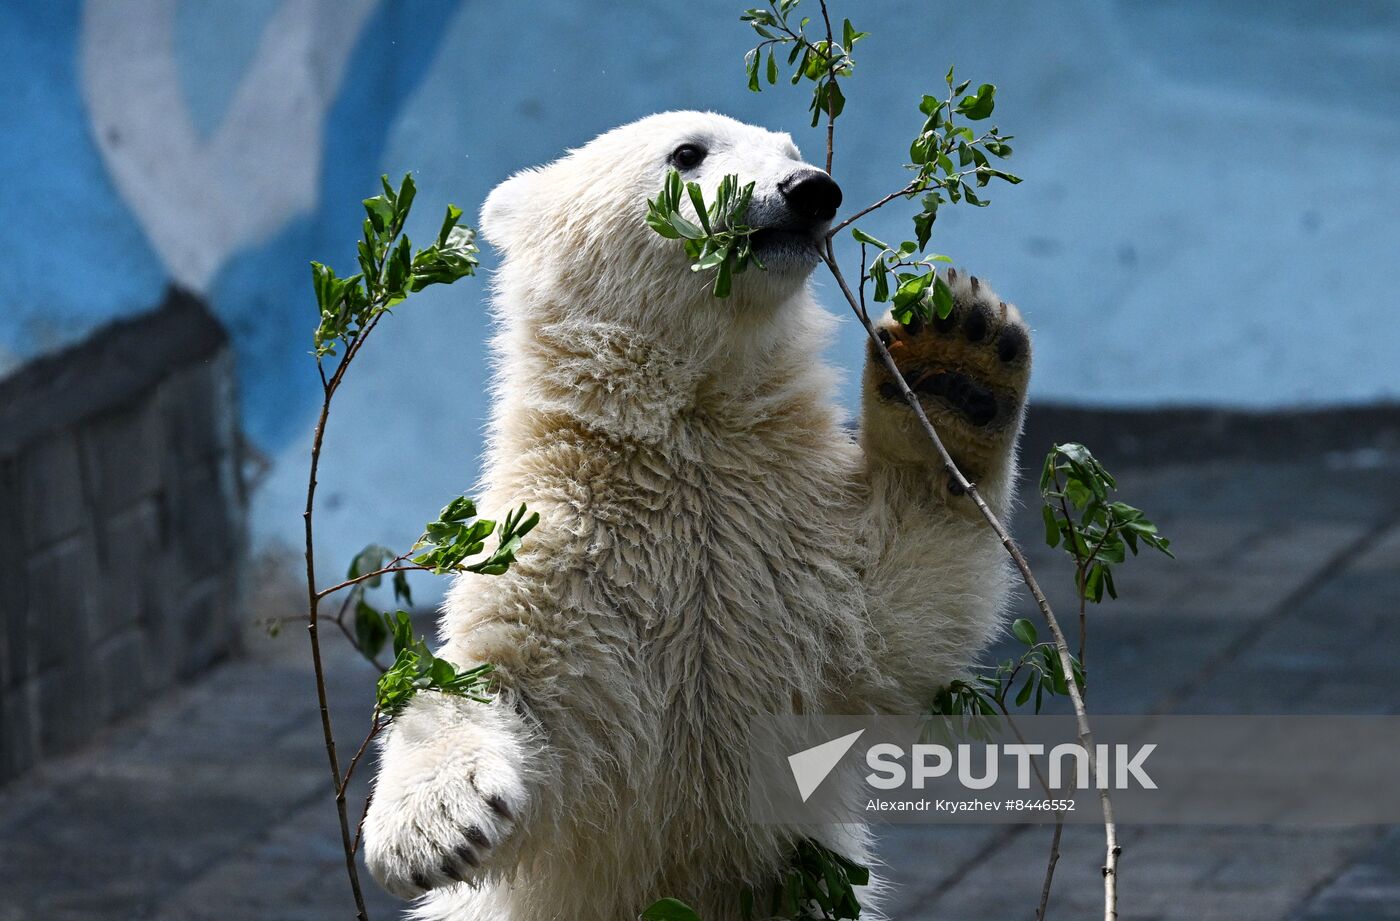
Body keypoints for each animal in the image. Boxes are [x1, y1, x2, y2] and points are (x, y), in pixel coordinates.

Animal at [361, 112, 1036, 918]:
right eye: (688, 152)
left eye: (792, 151)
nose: (811, 189)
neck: (689, 435)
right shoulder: (562, 540)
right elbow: (486, 678)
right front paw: (436, 826)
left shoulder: (788, 543)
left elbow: (901, 606)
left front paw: (958, 360)